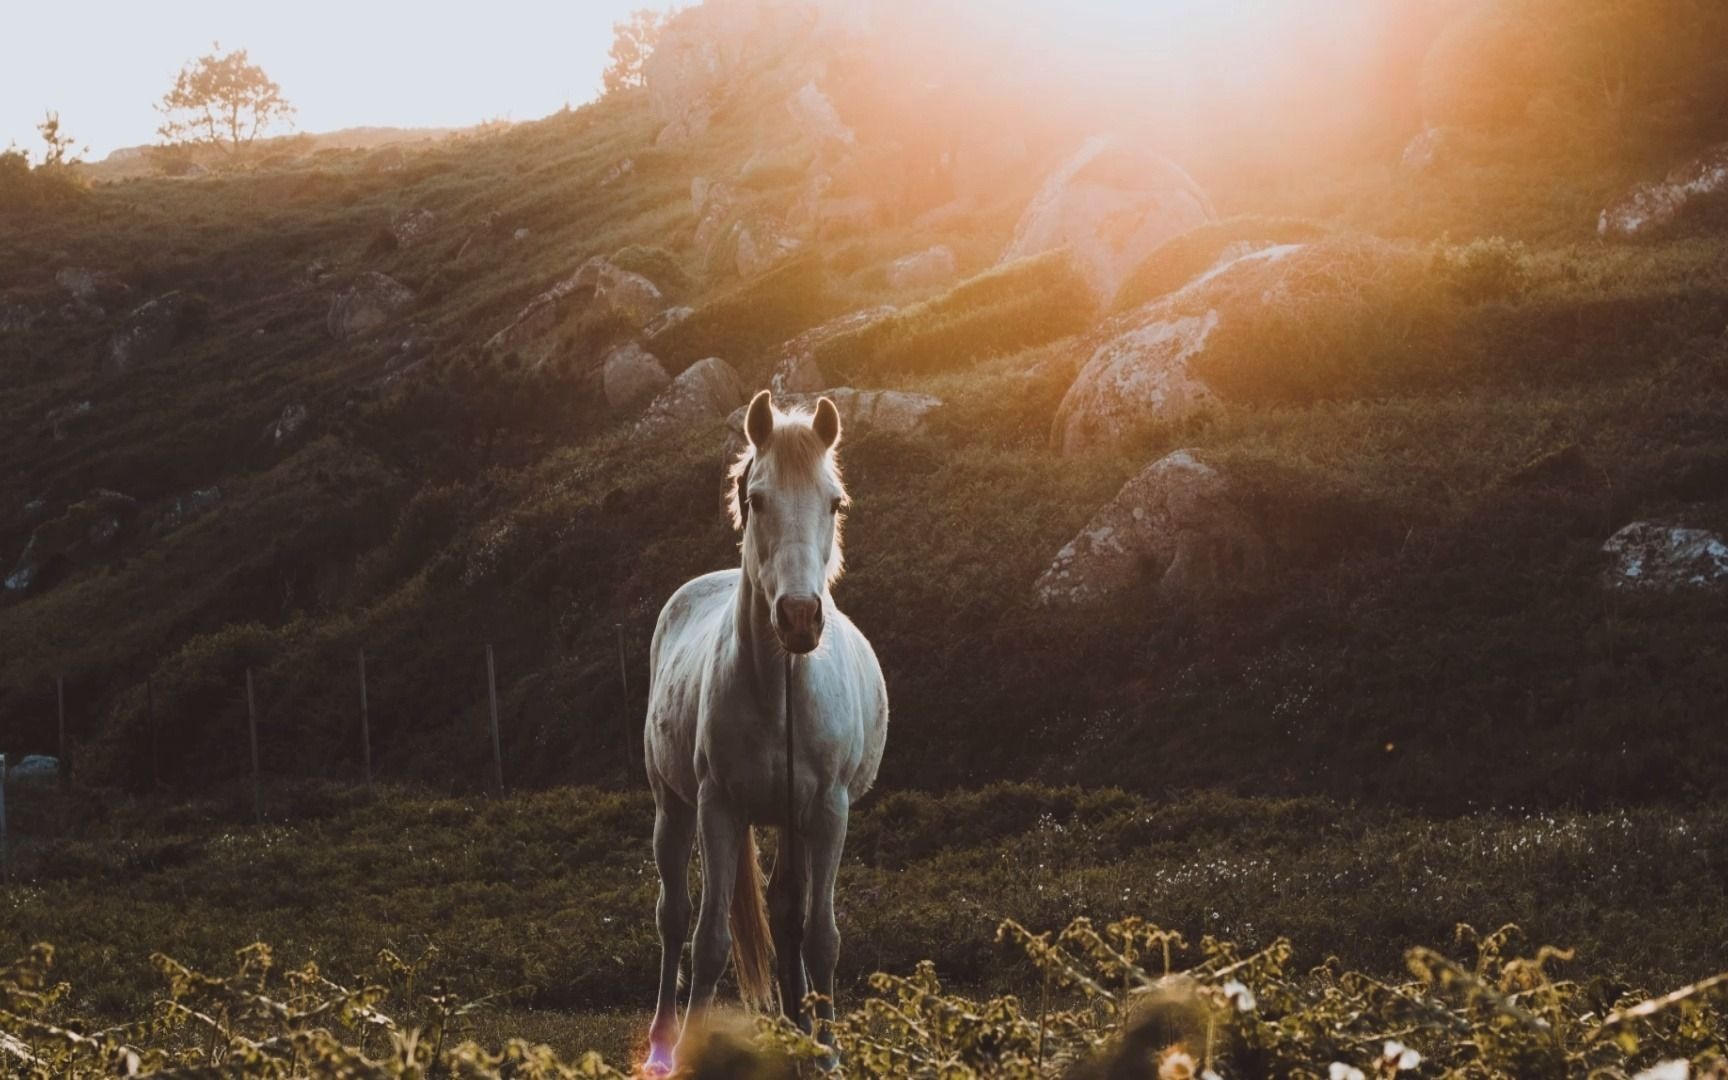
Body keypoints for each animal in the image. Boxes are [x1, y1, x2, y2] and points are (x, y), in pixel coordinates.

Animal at [646, 388, 891, 1071]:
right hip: (672, 807)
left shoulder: (828, 812)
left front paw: (827, 1055)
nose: (800, 617)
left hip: (790, 820)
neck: (779, 692)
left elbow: (820, 938)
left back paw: (796, 1030)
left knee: (785, 916)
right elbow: (708, 941)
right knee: (673, 916)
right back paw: (661, 1043)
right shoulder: (719, 809)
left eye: (834, 502)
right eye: (757, 500)